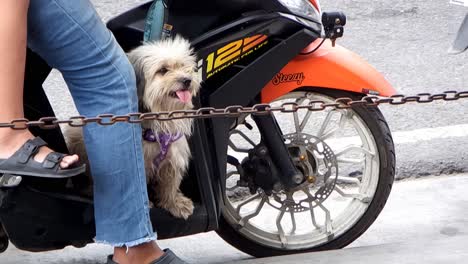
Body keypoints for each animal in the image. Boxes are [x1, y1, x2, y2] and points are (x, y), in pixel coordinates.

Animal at [67, 36, 201, 219]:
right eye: (163, 70)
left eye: (183, 66)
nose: (187, 80)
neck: (158, 116)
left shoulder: (173, 155)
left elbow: (170, 183)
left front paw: (173, 203)